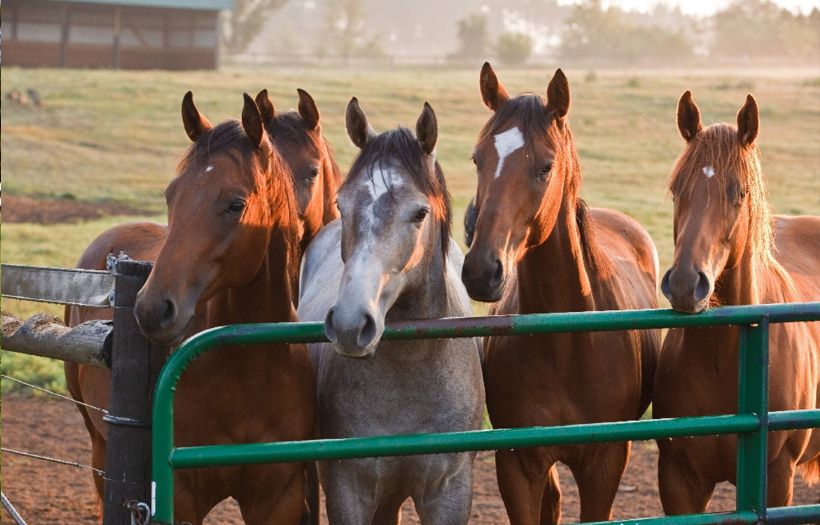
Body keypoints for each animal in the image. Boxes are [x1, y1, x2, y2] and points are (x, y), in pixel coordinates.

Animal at [65, 92, 315, 524]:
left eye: (236, 204)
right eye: (171, 195)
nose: (153, 308)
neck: (250, 372)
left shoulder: (279, 497)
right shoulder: (180, 495)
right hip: (100, 448)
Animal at [460, 63, 662, 524]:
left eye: (546, 167)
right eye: (478, 159)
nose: (481, 270)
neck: (566, 342)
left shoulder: (605, 465)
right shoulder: (517, 464)